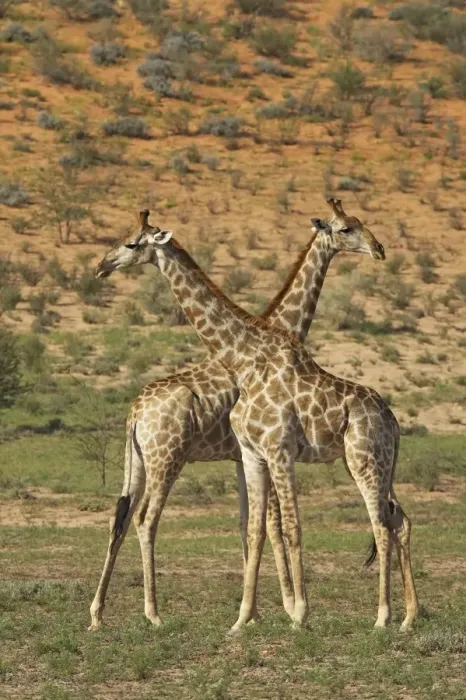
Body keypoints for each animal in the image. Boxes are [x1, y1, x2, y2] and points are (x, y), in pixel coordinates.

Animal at [94, 203, 419, 633]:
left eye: (131, 243)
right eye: (347, 228)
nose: (102, 265)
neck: (253, 351)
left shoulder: (268, 452)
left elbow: (273, 528)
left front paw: (285, 612)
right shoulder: (255, 453)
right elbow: (263, 528)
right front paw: (263, 614)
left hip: (362, 461)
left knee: (386, 523)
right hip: (163, 459)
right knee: (139, 520)